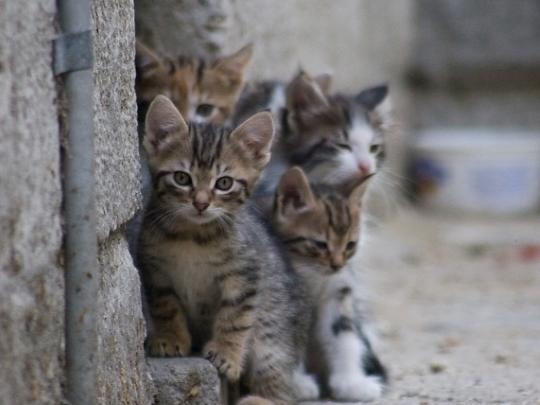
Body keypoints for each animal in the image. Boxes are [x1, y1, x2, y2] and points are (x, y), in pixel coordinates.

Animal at [136, 95, 308, 404]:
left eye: (224, 183)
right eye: (182, 178)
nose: (201, 203)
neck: (191, 237)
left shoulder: (245, 273)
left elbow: (235, 317)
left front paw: (227, 353)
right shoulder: (154, 270)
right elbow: (165, 305)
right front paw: (170, 338)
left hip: (272, 338)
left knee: (282, 387)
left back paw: (257, 399)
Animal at [272, 166, 386, 400]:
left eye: (350, 245)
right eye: (320, 244)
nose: (337, 265)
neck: (312, 276)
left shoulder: (338, 291)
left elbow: (344, 337)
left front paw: (351, 383)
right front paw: (296, 384)